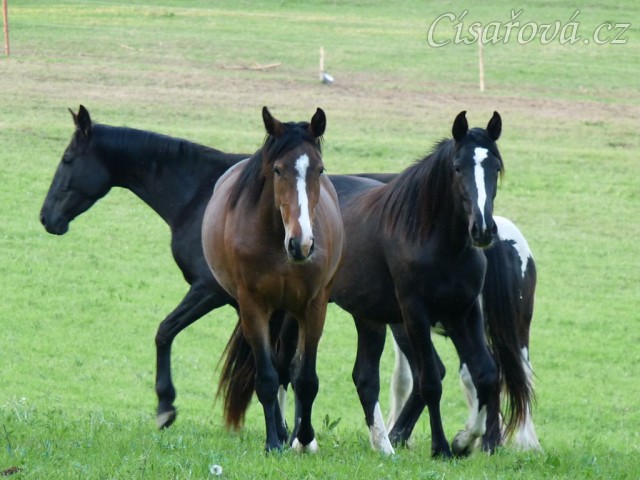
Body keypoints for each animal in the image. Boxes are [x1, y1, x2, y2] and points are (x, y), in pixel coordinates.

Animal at [39, 105, 249, 429]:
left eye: (67, 159)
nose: (45, 217)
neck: (202, 194)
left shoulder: (210, 289)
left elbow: (164, 331)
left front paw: (165, 404)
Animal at [201, 107, 344, 452]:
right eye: (278, 170)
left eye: (319, 169)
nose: (302, 244)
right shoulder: (252, 306)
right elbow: (266, 378)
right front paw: (273, 443)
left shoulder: (313, 306)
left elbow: (305, 379)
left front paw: (304, 439)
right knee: (272, 369)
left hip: (289, 313)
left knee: (285, 367)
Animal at [324, 110, 531, 457]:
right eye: (458, 167)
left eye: (496, 167)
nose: (483, 230)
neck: (434, 241)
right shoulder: (415, 314)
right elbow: (431, 381)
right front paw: (442, 447)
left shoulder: (463, 311)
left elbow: (486, 374)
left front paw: (464, 440)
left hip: (367, 316)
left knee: (364, 377)